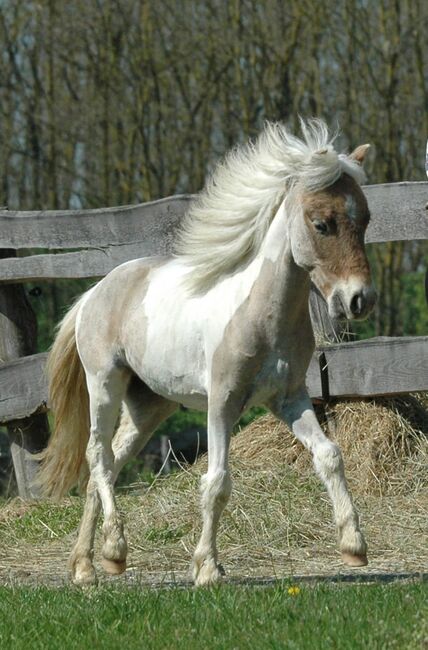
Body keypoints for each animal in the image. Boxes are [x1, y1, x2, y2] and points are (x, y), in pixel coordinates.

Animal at [38, 119, 376, 584]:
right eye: (322, 224)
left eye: (366, 219)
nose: (359, 300)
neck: (261, 316)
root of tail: (94, 293)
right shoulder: (222, 403)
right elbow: (217, 482)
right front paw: (207, 569)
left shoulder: (289, 400)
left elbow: (329, 455)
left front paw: (354, 547)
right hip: (104, 384)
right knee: (99, 458)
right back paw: (114, 551)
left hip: (149, 407)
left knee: (105, 465)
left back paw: (89, 565)